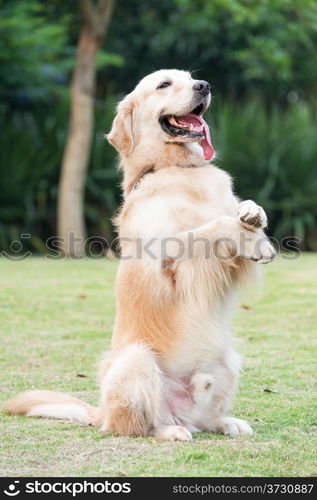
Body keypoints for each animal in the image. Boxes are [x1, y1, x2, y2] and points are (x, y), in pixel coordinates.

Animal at [3, 70, 276, 442]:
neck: (176, 168)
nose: (204, 86)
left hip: (229, 359)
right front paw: (251, 238)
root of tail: (99, 412)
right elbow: (211, 227)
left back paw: (227, 423)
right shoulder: (167, 260)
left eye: (190, 78)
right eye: (164, 84)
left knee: (204, 419)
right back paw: (171, 431)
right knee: (140, 424)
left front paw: (253, 217)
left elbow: (238, 211)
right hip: (137, 359)